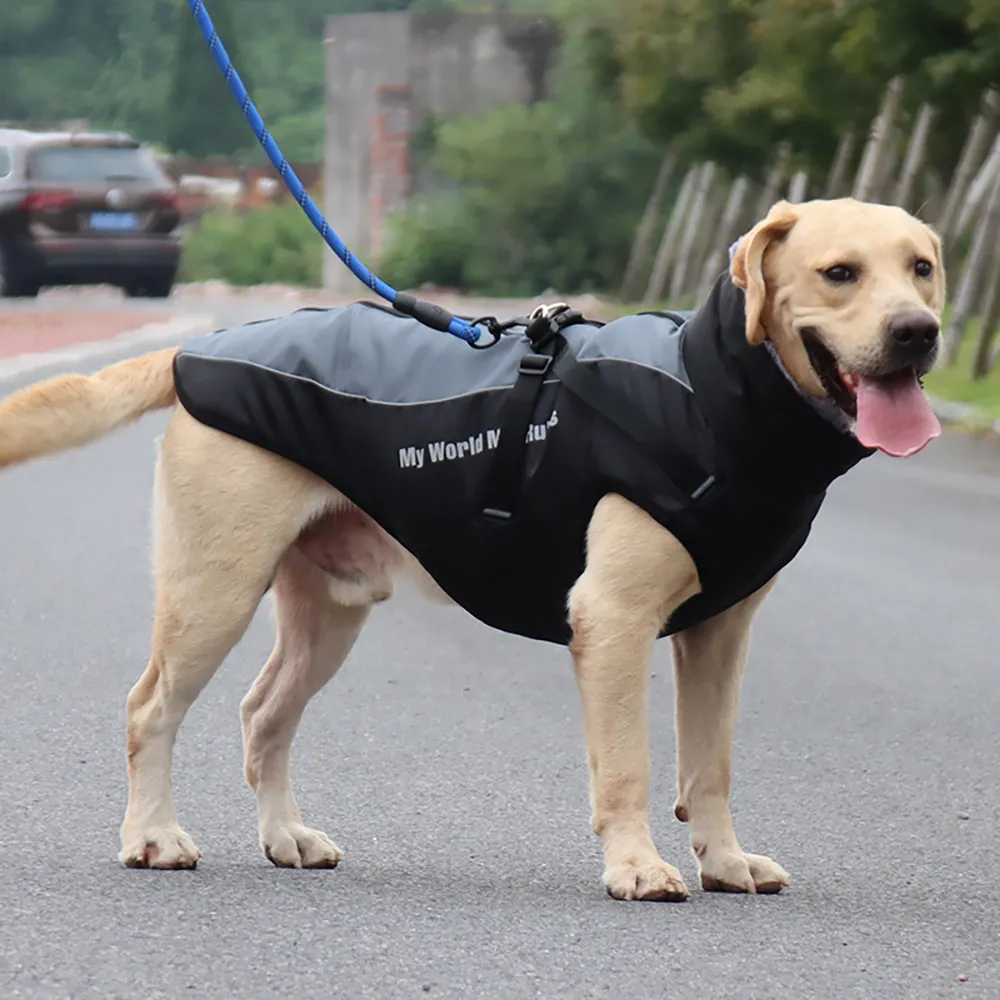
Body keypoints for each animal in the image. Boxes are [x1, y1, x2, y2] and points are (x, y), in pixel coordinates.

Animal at [0, 199, 944, 904]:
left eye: (923, 268)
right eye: (840, 273)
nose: (920, 332)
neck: (714, 393)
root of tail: (198, 350)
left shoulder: (721, 633)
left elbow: (710, 764)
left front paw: (724, 860)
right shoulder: (614, 619)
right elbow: (630, 767)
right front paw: (637, 868)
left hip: (328, 613)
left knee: (262, 715)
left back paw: (285, 838)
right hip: (215, 590)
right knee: (150, 707)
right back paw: (153, 837)